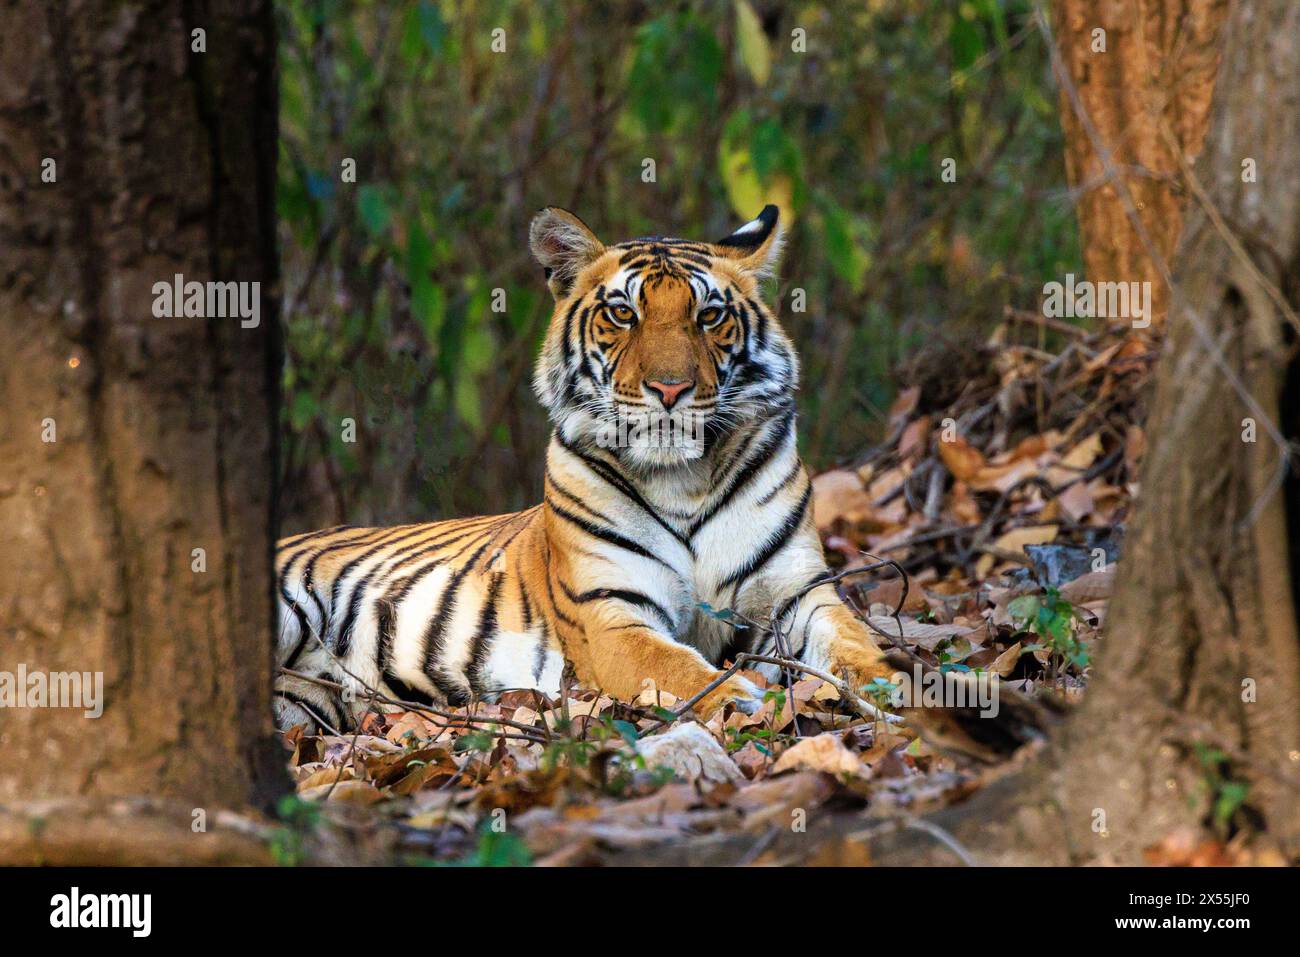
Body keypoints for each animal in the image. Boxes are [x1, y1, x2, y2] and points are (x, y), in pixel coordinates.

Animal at [273, 205, 894, 732]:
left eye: (709, 316)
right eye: (623, 314)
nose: (671, 389)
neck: (683, 480)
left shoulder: (799, 592)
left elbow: (856, 645)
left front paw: (900, 690)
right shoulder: (611, 615)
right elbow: (675, 667)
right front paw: (739, 696)